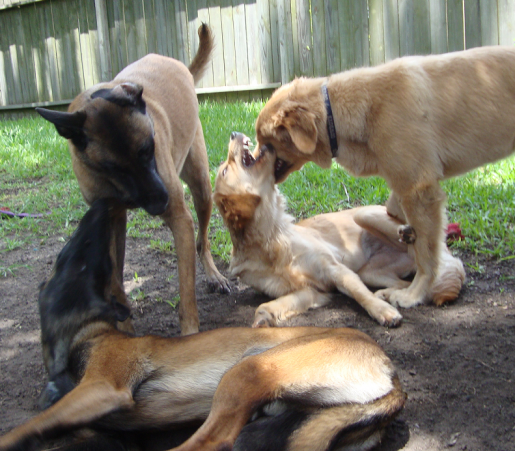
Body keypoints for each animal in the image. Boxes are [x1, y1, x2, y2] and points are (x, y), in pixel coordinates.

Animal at [2, 200, 410, 451]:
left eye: (80, 258)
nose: (104, 205)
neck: (86, 334)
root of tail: (391, 373)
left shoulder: (103, 387)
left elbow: (26, 425)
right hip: (299, 425)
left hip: (246, 371)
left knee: (210, 442)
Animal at [35, 24, 229, 336]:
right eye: (113, 168)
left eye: (149, 149)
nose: (160, 204)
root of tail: (180, 67)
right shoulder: (111, 220)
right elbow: (114, 279)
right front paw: (124, 328)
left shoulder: (179, 217)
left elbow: (186, 290)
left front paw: (189, 333)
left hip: (200, 186)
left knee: (203, 240)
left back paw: (213, 275)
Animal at [214, 132, 468, 326]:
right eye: (225, 171)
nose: (234, 133)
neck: (271, 240)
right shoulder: (308, 291)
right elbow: (266, 306)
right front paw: (263, 320)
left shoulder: (335, 269)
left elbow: (359, 294)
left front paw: (382, 311)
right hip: (371, 272)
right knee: (413, 286)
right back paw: (391, 293)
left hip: (363, 215)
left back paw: (408, 237)